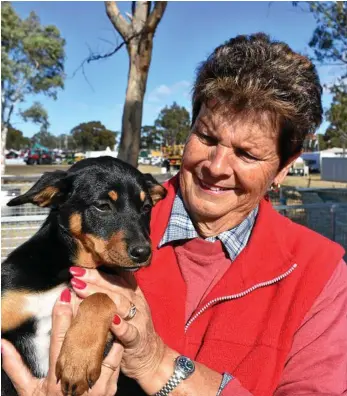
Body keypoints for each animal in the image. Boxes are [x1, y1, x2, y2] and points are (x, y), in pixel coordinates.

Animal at [1, 156, 167, 394]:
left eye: (146, 208)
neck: (70, 267)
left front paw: (78, 361)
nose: (143, 253)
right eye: (102, 206)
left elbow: (101, 297)